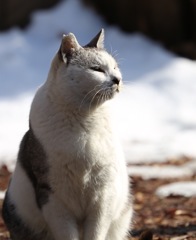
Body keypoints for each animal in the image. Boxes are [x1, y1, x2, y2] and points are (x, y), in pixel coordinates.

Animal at [2, 29, 132, 239]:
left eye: (115, 67)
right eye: (97, 69)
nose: (117, 79)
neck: (85, 119)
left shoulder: (104, 194)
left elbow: (96, 232)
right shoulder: (52, 196)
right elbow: (66, 233)